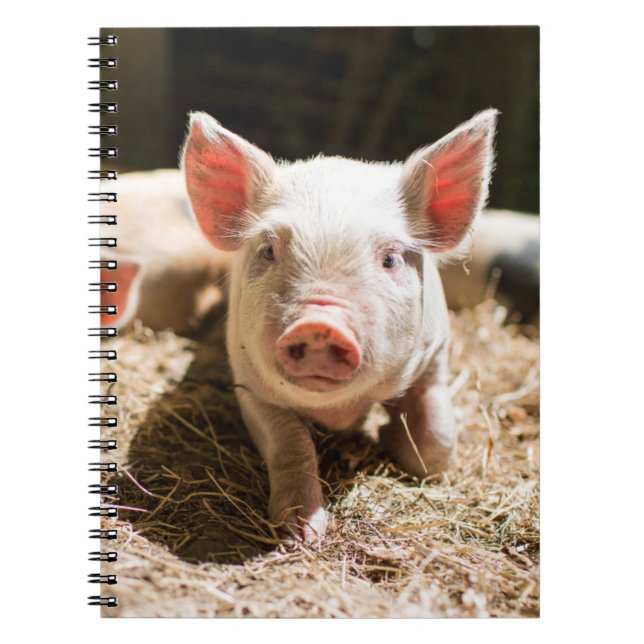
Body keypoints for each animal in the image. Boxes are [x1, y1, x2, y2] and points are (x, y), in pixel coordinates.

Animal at [177, 109, 498, 541]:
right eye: (268, 250)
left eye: (391, 258)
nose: (319, 324)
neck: (340, 411)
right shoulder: (249, 384)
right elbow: (291, 444)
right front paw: (300, 534)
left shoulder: (435, 356)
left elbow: (436, 444)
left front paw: (390, 438)